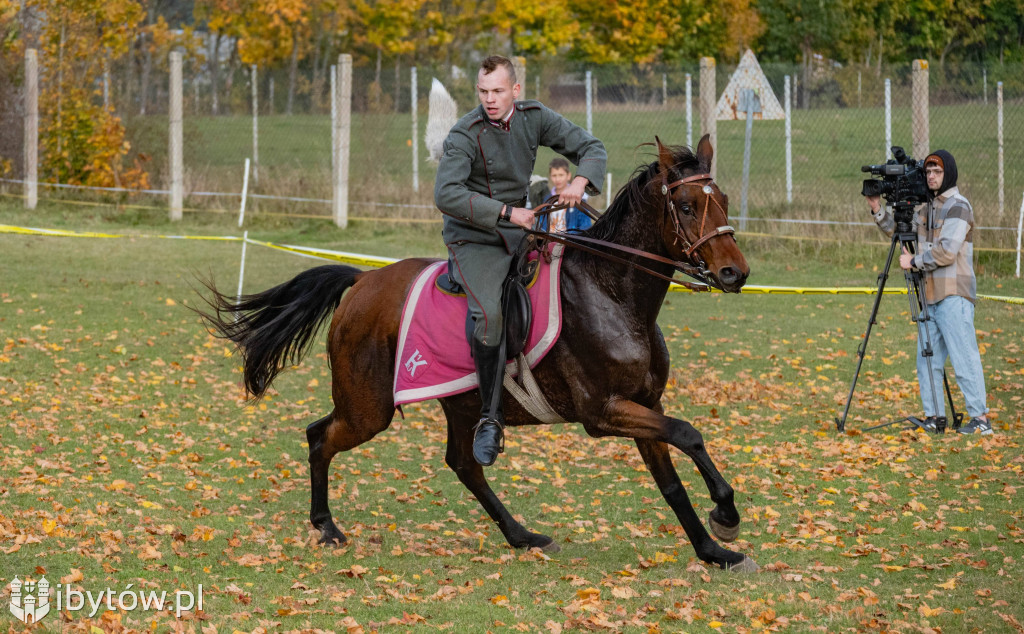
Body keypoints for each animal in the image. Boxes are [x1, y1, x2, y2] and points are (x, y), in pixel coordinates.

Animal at [201, 136, 761, 573]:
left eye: (722, 199)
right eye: (685, 206)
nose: (735, 272)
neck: (613, 294)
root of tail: (361, 282)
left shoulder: (644, 405)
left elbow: (672, 479)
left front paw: (714, 549)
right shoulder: (603, 413)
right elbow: (689, 434)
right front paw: (726, 517)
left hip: (461, 403)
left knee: (464, 465)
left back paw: (521, 535)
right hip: (368, 408)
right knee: (320, 438)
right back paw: (326, 527)